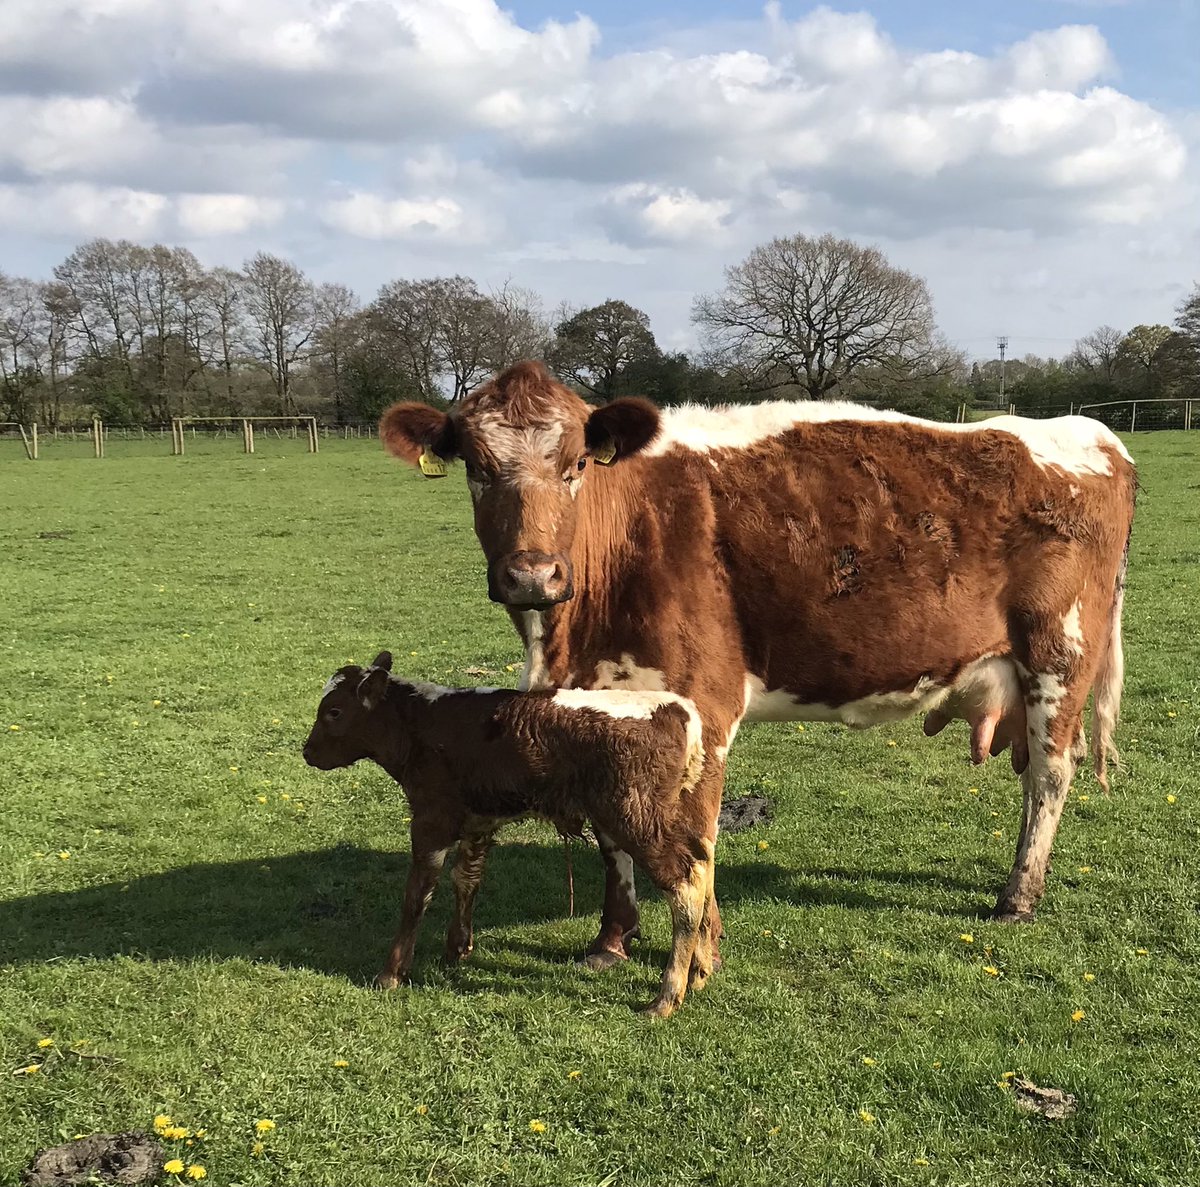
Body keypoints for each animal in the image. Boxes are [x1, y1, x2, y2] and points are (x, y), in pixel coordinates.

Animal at [302, 651, 714, 1017]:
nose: (307, 752)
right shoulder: (478, 823)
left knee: (685, 884)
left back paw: (666, 997)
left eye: (334, 712)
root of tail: (675, 709)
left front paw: (391, 973)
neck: (423, 724)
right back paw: (699, 971)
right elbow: (465, 880)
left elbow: (416, 896)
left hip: (636, 821)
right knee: (703, 865)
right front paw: (457, 947)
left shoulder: (431, 823)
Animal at [379, 361, 1136, 969]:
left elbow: (694, 831)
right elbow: (610, 827)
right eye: (477, 467)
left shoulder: (703, 705)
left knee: (1050, 774)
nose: (531, 575)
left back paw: (1017, 895)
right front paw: (611, 938)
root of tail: (1089, 434)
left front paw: (691, 949)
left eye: (577, 465)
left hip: (1058, 654)